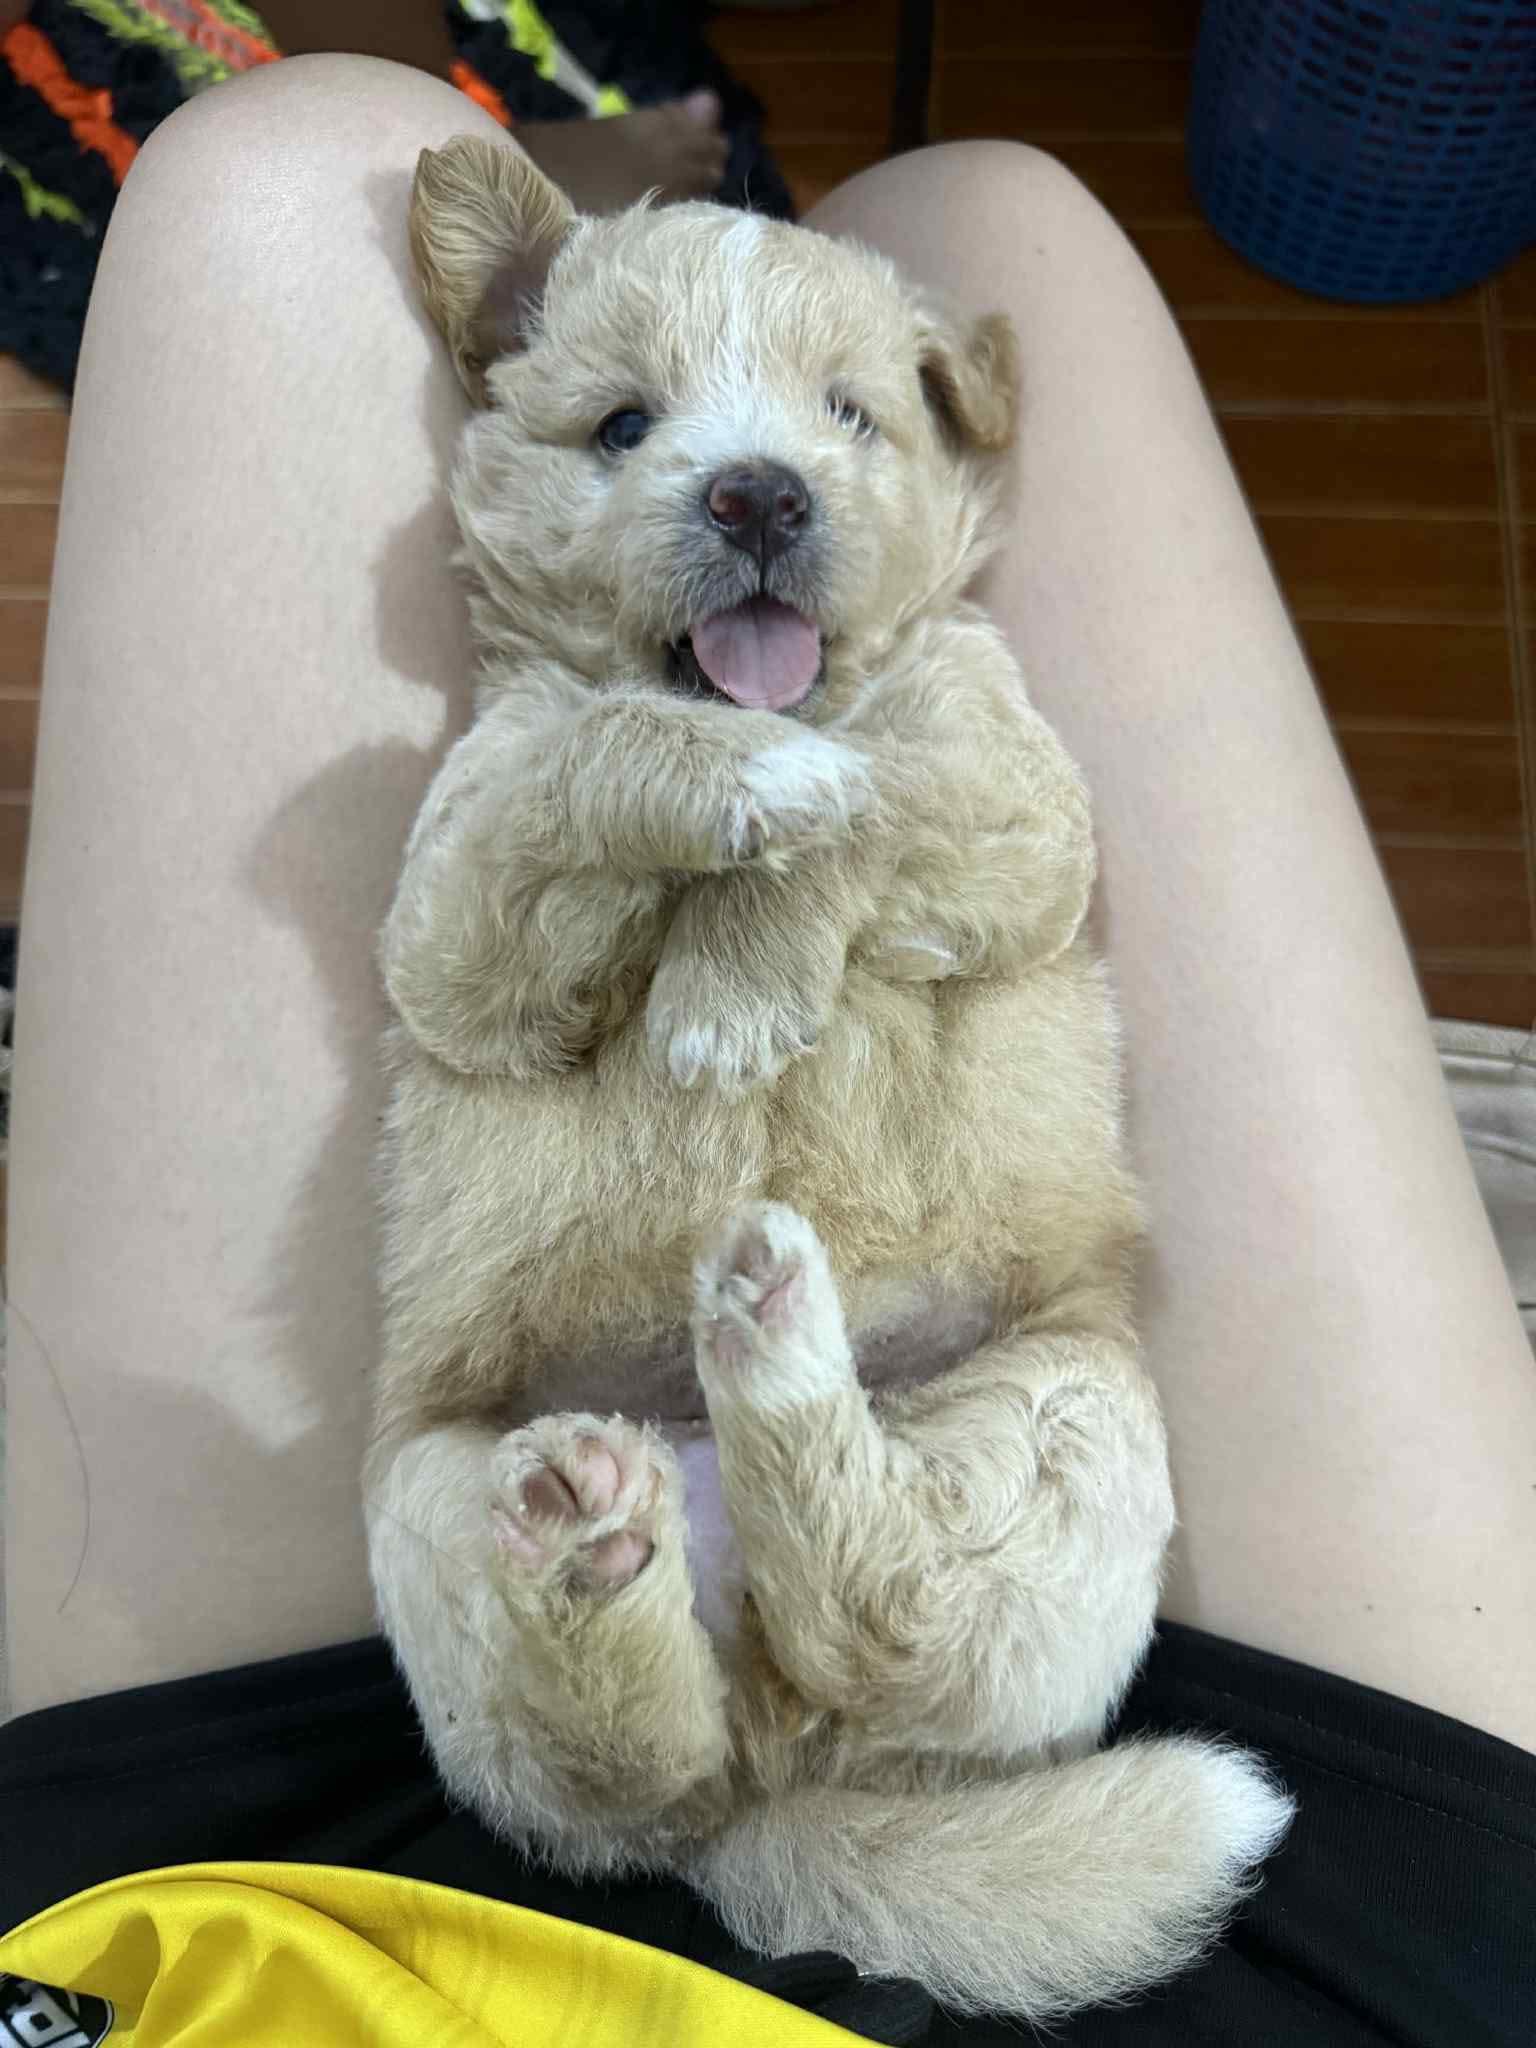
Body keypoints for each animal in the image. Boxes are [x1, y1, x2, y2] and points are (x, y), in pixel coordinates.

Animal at [366, 134, 1292, 2020]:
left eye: (852, 415)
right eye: (623, 425)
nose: (759, 497)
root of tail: (774, 1779)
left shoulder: (1022, 808)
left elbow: (874, 789)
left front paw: (745, 959)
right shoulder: (455, 927)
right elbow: (604, 749)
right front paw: (742, 790)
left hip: (1066, 1417)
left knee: (882, 1598)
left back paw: (763, 1335)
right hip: (430, 1508)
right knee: (614, 1748)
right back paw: (603, 1516)